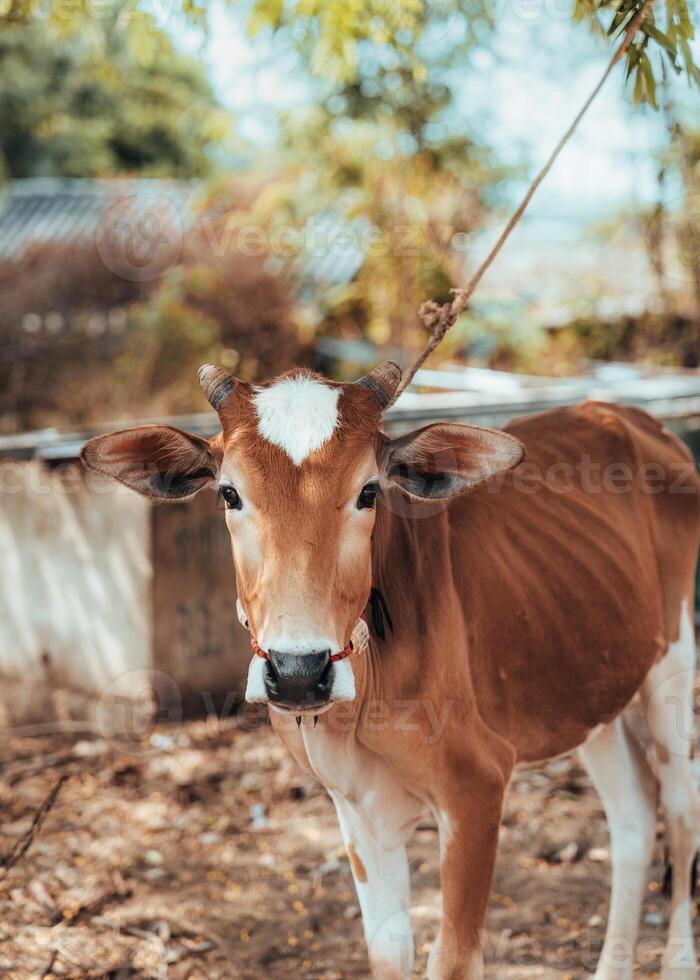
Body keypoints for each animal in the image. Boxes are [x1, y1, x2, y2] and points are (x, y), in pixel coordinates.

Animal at [83, 366, 700, 980]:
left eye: (368, 492)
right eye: (230, 493)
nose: (298, 672)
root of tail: (638, 421)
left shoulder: (476, 786)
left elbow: (451, 957)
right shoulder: (357, 808)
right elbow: (388, 949)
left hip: (673, 670)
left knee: (679, 816)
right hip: (589, 691)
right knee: (633, 815)